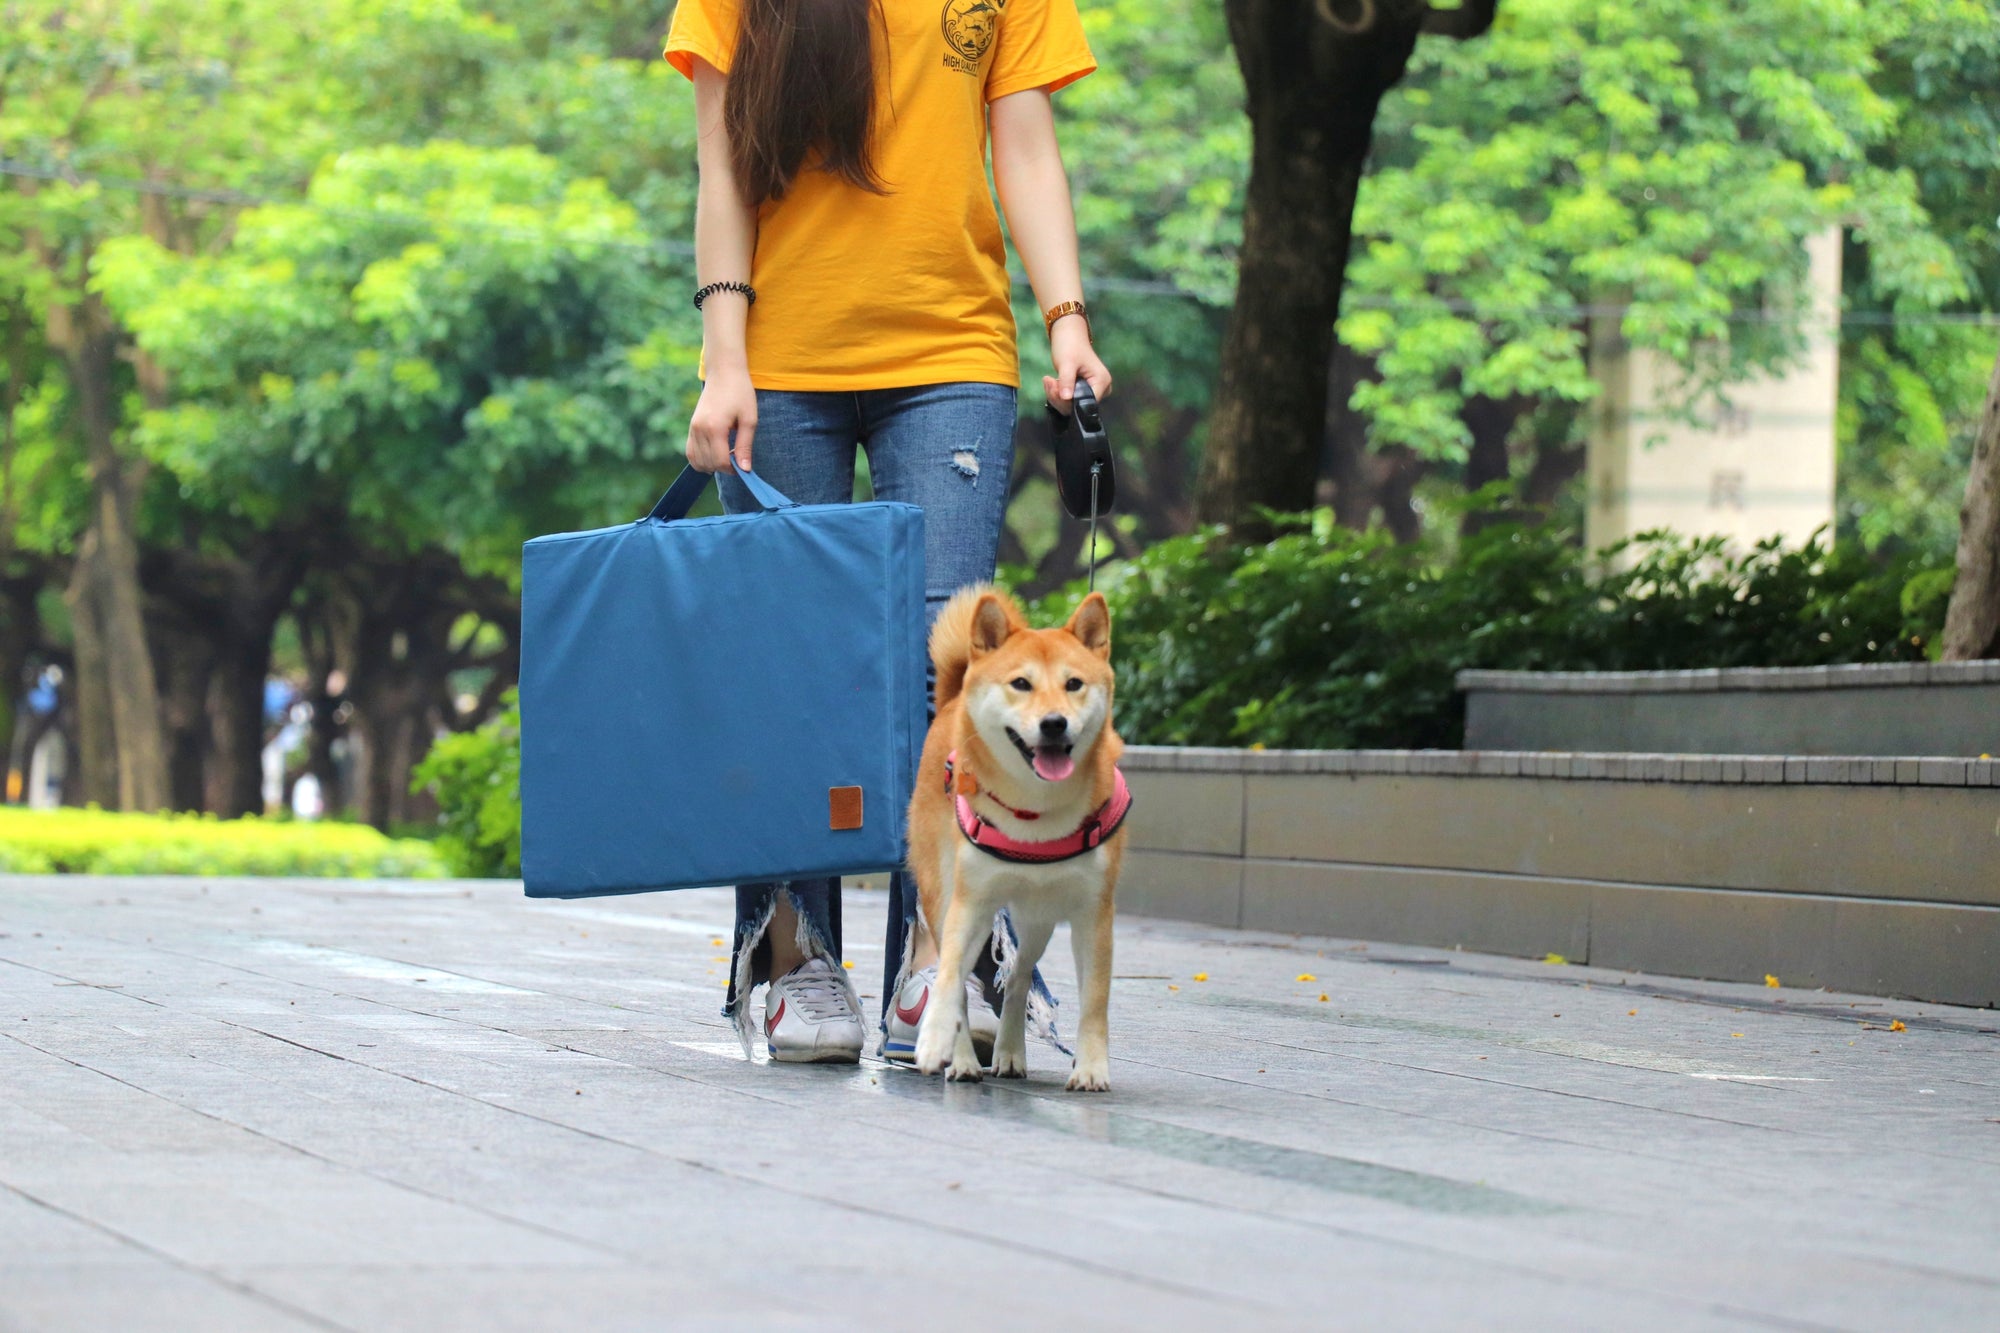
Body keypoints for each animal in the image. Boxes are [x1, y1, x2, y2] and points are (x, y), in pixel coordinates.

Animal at [912, 588, 1136, 1088]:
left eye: (1074, 684)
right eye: (1020, 683)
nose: (1054, 723)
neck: (1037, 815)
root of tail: (953, 700)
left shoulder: (1095, 913)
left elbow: (1095, 1002)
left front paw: (1091, 1068)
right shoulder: (968, 903)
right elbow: (950, 979)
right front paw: (935, 1041)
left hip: (1039, 918)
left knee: (1017, 979)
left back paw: (1010, 1053)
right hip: (942, 893)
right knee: (966, 984)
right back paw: (963, 1060)